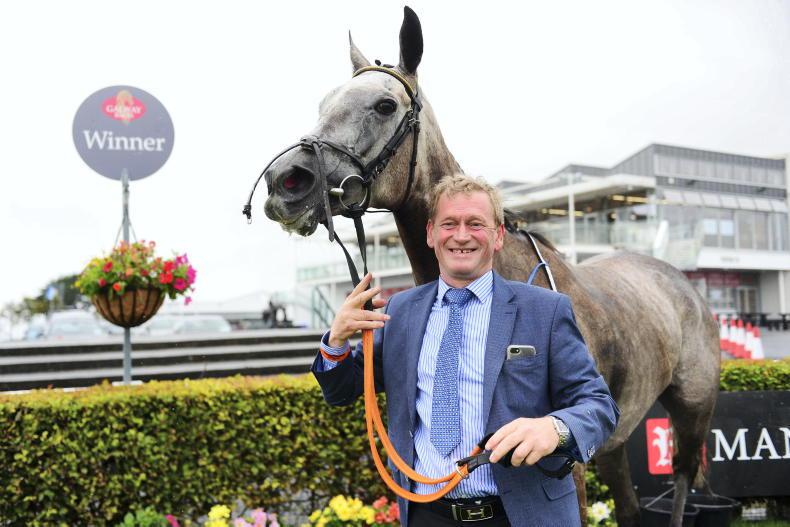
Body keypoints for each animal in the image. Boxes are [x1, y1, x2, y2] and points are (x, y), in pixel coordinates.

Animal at [257, 7, 720, 526]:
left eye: (384, 105)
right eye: (324, 102)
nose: (286, 181)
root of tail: (684, 284)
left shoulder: (570, 461)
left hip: (692, 409)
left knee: (682, 477)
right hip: (617, 443)